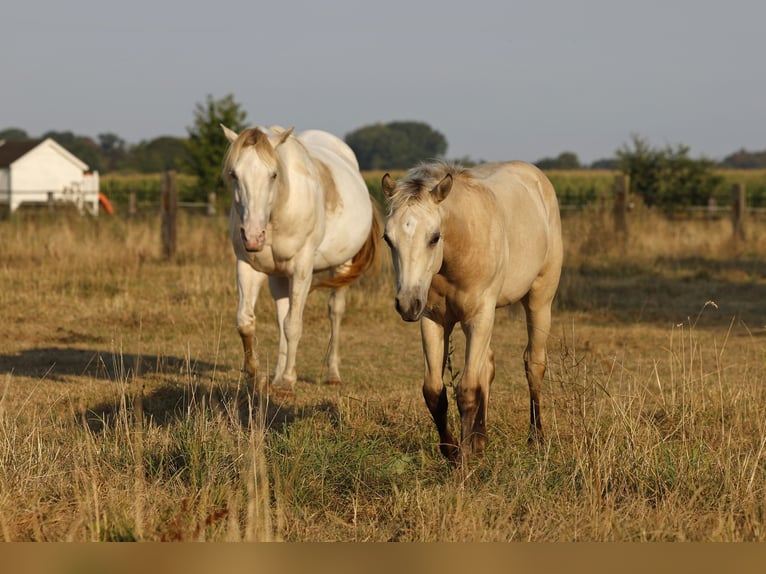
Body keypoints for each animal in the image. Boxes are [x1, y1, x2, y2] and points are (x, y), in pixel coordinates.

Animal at [221, 124, 381, 394]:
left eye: (273, 175)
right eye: (234, 174)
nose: (253, 236)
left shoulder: (302, 270)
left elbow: (293, 325)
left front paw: (288, 381)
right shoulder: (248, 267)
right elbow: (246, 321)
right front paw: (255, 375)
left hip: (341, 268)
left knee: (335, 312)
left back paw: (332, 374)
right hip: (278, 277)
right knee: (281, 316)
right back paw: (276, 375)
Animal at [381, 161, 562, 461]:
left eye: (434, 237)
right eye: (387, 238)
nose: (407, 304)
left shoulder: (478, 317)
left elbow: (467, 390)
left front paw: (463, 460)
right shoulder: (433, 320)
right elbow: (434, 390)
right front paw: (452, 450)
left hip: (540, 299)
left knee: (534, 364)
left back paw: (535, 437)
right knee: (487, 366)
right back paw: (480, 439)